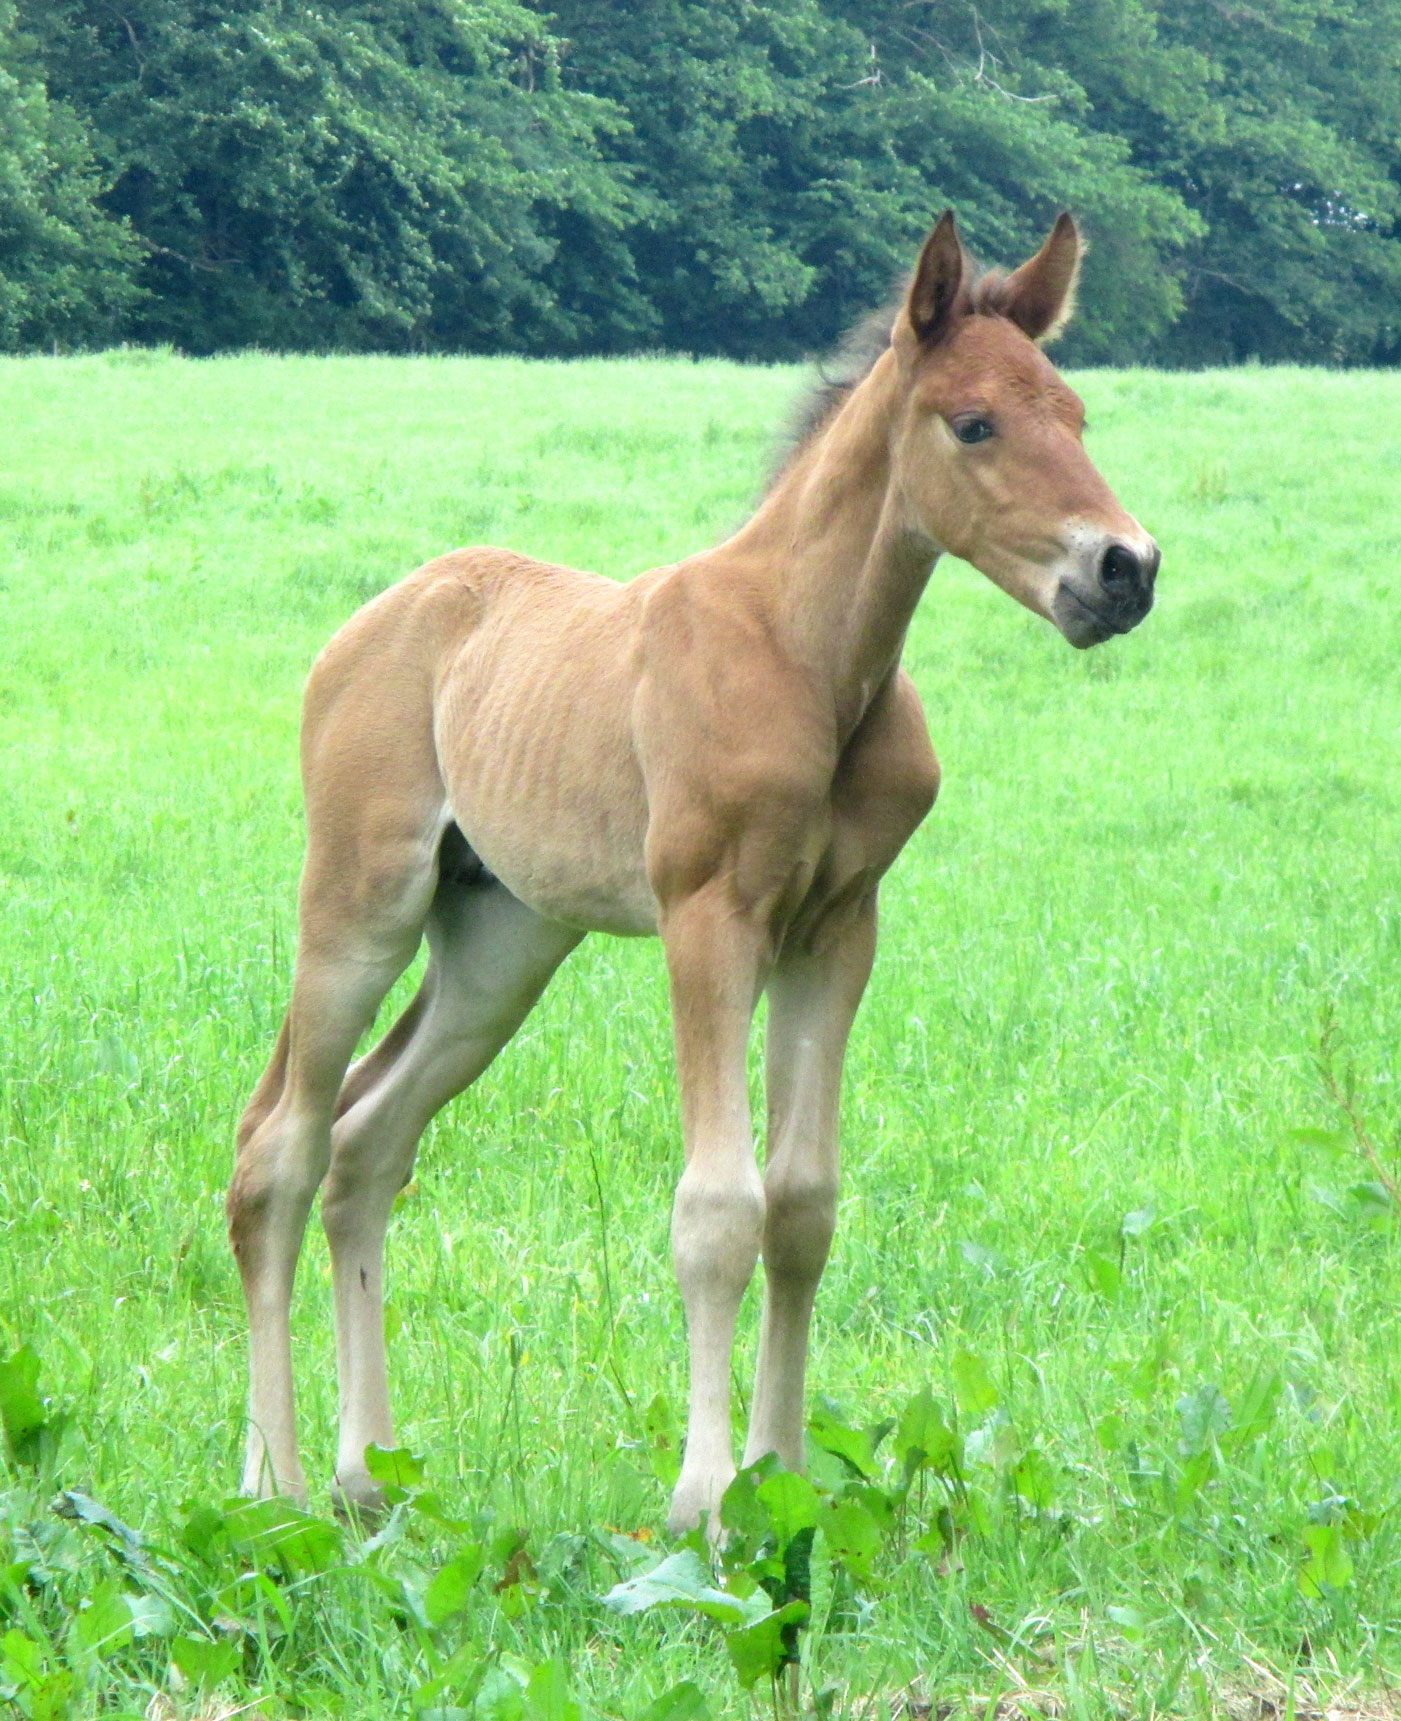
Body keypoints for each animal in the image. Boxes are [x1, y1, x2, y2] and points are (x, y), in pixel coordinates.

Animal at [227, 209, 1159, 1534]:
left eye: (1074, 412)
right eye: (974, 422)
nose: (1125, 569)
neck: (812, 656)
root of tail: (368, 622)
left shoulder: (838, 930)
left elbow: (803, 1205)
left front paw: (784, 1475)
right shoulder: (707, 916)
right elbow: (719, 1207)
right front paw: (705, 1496)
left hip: (501, 949)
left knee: (366, 1143)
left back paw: (369, 1469)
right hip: (361, 906)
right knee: (281, 1149)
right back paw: (276, 1476)